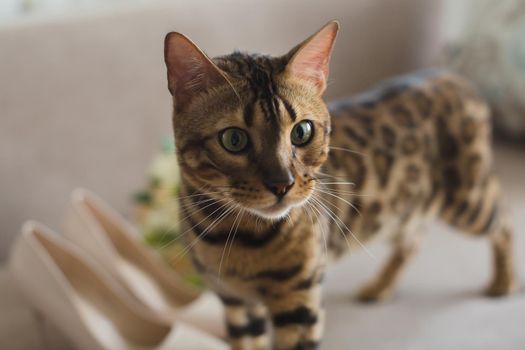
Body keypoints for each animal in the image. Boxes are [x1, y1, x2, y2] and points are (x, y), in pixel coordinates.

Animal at [163, 20, 516, 348]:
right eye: (233, 139)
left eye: (302, 132)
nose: (282, 184)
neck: (236, 238)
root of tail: (452, 77)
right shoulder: (236, 304)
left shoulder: (300, 301)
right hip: (404, 205)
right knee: (413, 238)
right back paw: (380, 287)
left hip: (467, 198)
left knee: (504, 219)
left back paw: (504, 281)